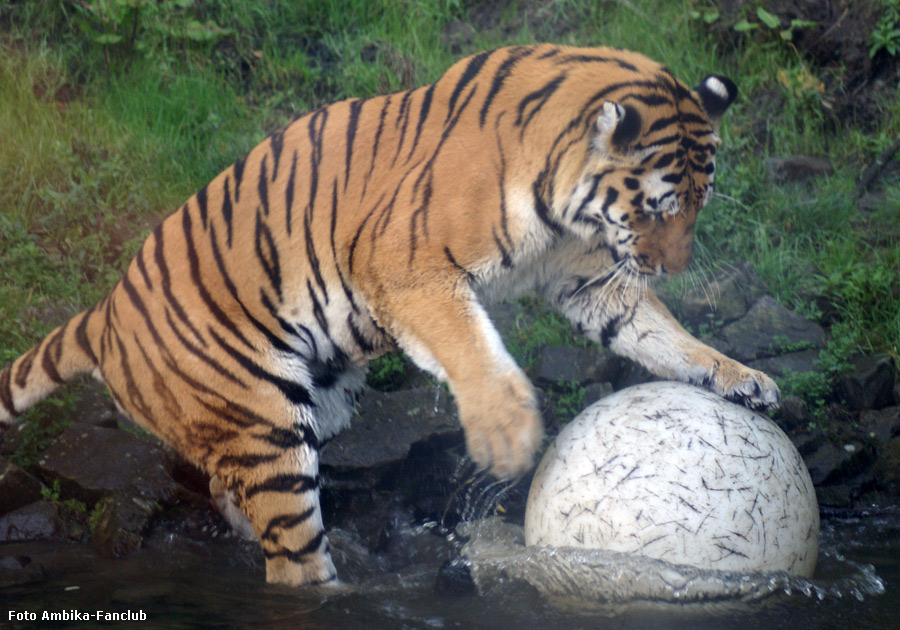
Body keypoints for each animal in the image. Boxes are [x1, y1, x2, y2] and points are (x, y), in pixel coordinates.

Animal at [0, 43, 780, 588]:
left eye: (699, 203)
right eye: (658, 206)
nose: (671, 267)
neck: (566, 207)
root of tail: (105, 313)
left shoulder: (590, 278)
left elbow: (663, 336)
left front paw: (743, 379)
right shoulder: (407, 269)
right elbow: (471, 347)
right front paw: (506, 435)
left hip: (316, 406)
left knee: (232, 491)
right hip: (265, 423)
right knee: (292, 560)